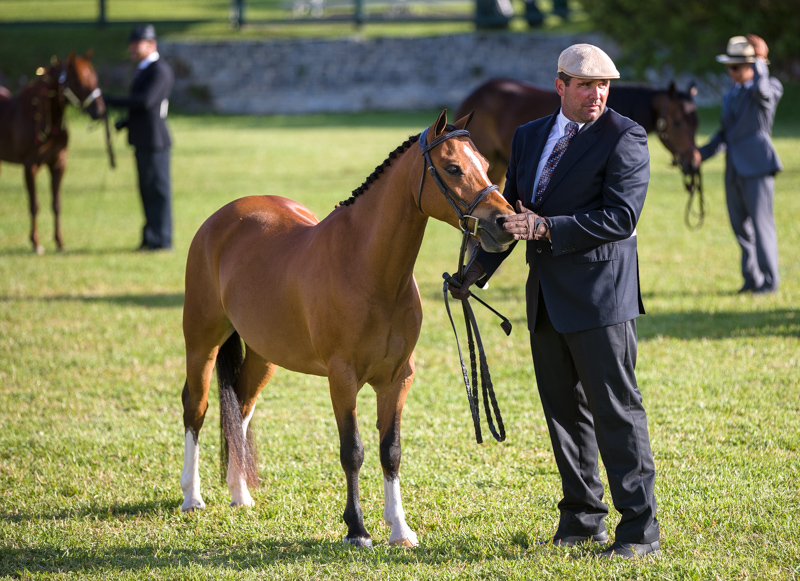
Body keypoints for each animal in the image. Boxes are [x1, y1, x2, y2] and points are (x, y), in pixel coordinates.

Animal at [0, 51, 109, 254]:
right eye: (77, 80)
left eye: (95, 77)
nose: (99, 110)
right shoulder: (30, 166)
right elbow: (34, 205)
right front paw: (36, 243)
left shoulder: (58, 164)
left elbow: (56, 204)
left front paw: (60, 242)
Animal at [180, 110, 520, 548]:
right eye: (453, 167)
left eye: (485, 164)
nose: (505, 223)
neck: (367, 268)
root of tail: (221, 219)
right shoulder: (342, 379)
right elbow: (352, 451)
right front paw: (357, 529)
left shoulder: (397, 379)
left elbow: (390, 450)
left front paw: (400, 529)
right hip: (201, 342)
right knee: (197, 407)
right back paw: (192, 497)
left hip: (264, 354)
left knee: (238, 407)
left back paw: (240, 494)